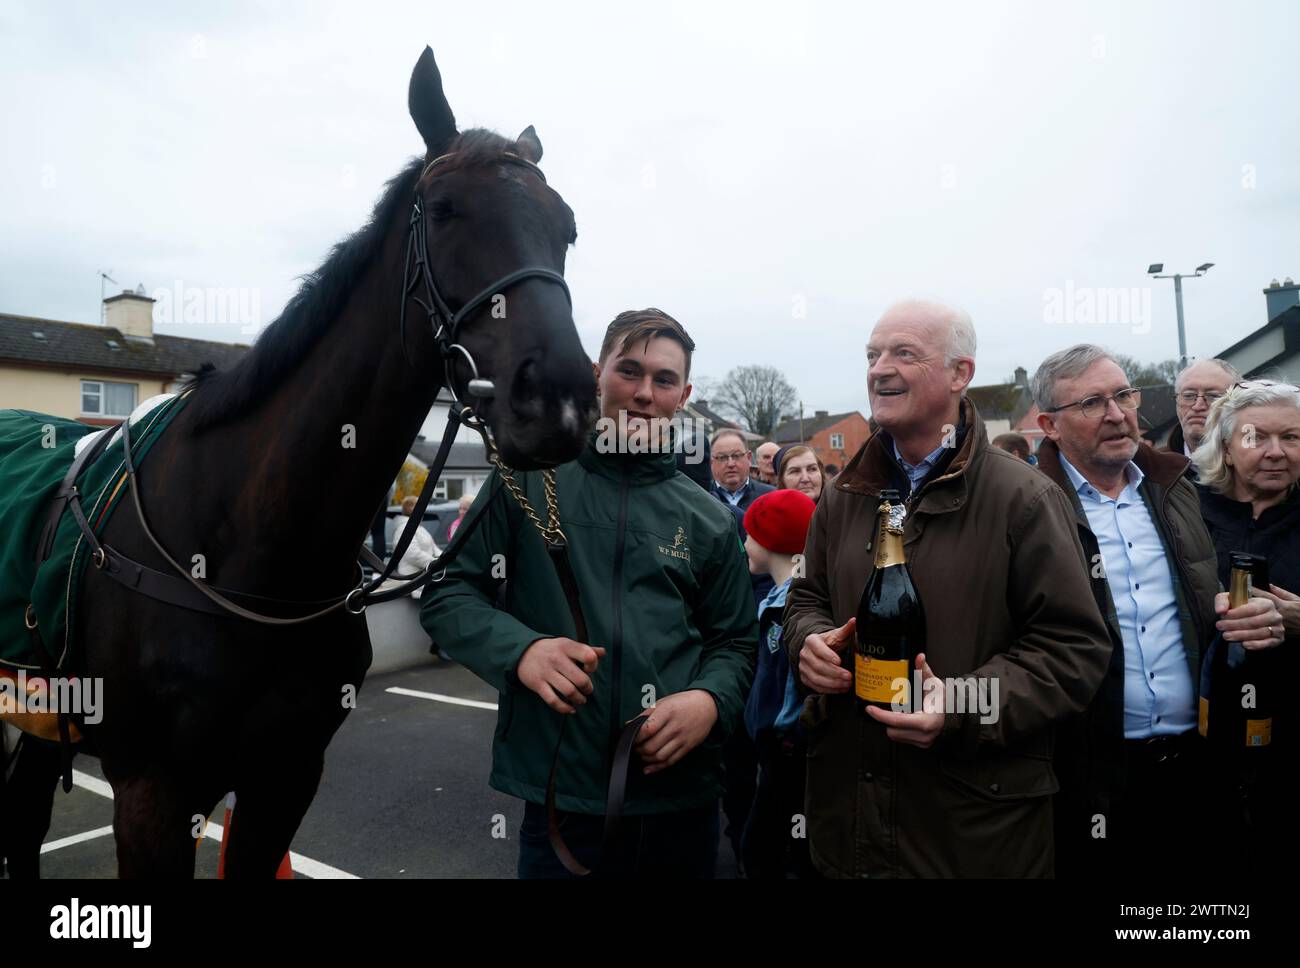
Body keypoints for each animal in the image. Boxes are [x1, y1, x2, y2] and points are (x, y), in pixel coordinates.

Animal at [0, 45, 598, 878]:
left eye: (565, 227)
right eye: (445, 208)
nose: (561, 397)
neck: (241, 548)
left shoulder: (285, 779)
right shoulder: (151, 796)